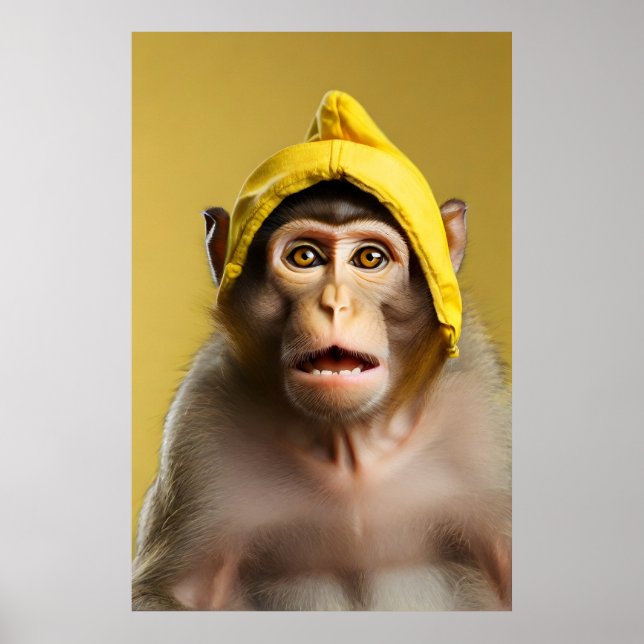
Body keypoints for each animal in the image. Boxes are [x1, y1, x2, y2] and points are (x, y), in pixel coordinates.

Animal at [132, 178, 511, 611]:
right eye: (305, 256)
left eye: (369, 258)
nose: (334, 303)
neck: (350, 443)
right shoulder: (202, 420)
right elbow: (170, 593)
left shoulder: (479, 412)